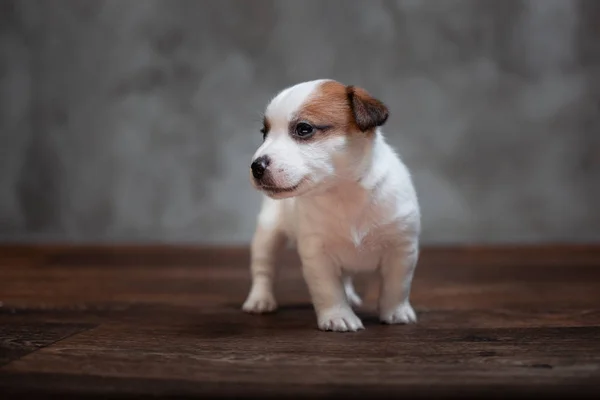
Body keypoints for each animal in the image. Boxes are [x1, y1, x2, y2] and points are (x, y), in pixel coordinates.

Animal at [241, 78, 420, 332]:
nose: (256, 166)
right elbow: (328, 289)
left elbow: (397, 286)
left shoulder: (402, 249)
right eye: (264, 133)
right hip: (267, 234)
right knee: (263, 269)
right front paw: (338, 316)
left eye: (304, 129)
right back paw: (260, 299)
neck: (344, 191)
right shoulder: (317, 254)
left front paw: (396, 312)